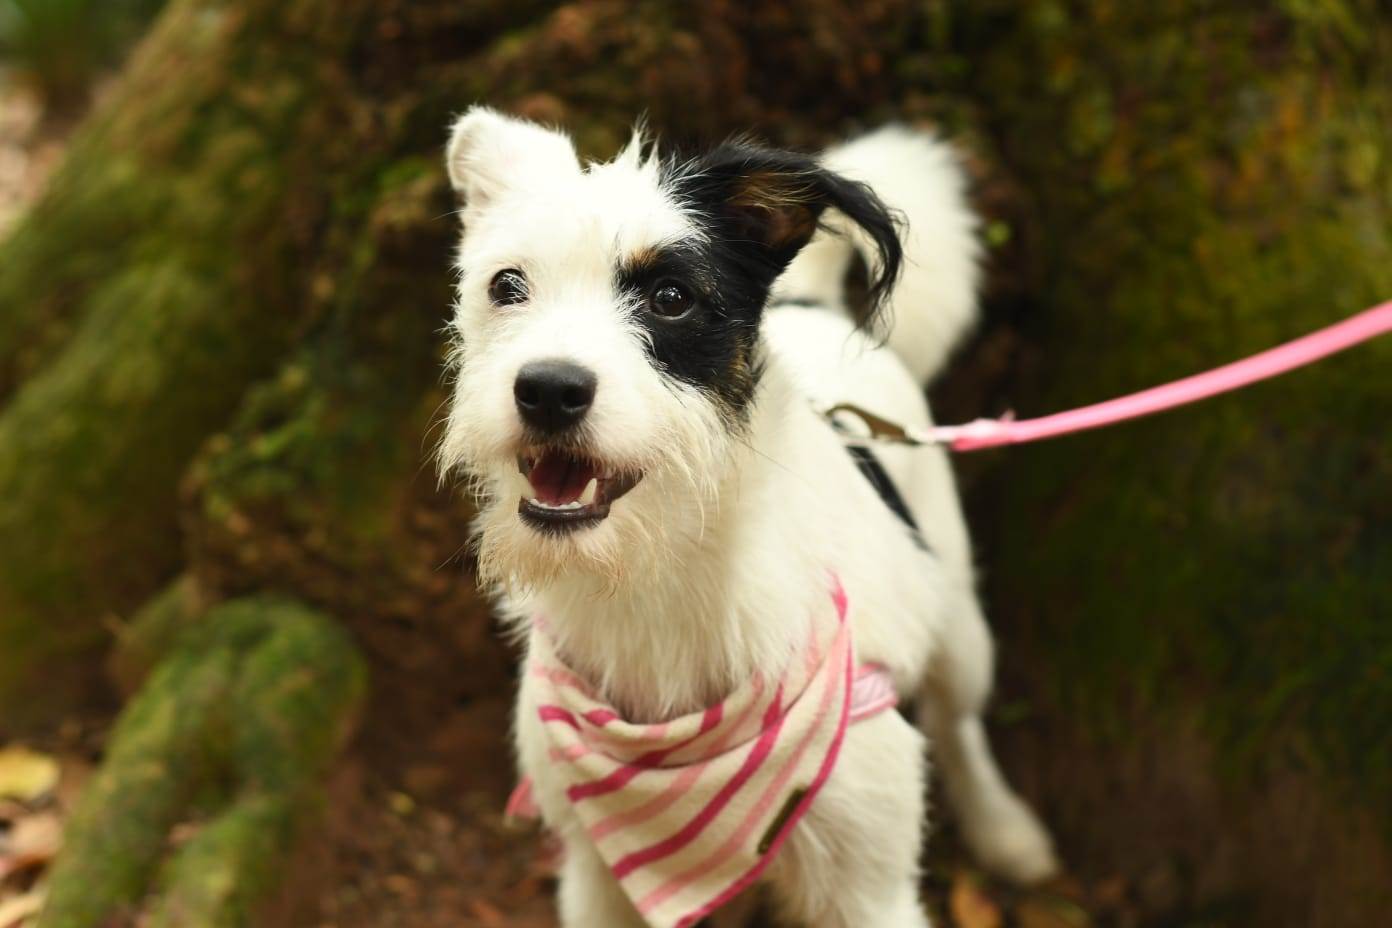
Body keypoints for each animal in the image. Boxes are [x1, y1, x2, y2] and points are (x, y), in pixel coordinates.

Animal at [438, 107, 1057, 928]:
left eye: (671, 297)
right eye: (506, 285)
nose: (547, 389)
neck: (659, 575)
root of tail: (811, 303)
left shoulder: (870, 890)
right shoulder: (596, 880)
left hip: (958, 621)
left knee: (960, 723)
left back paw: (1004, 829)